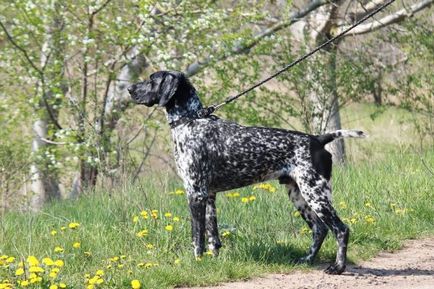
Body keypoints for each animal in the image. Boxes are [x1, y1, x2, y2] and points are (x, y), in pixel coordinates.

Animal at [129, 71, 366, 274]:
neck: (191, 121)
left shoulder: (195, 194)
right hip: (298, 195)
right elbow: (213, 238)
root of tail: (318, 139)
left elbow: (197, 238)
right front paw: (213, 262)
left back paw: (338, 267)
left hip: (315, 194)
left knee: (340, 229)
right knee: (320, 229)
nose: (130, 89)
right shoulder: (209, 196)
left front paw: (196, 263)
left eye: (151, 79)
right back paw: (307, 260)